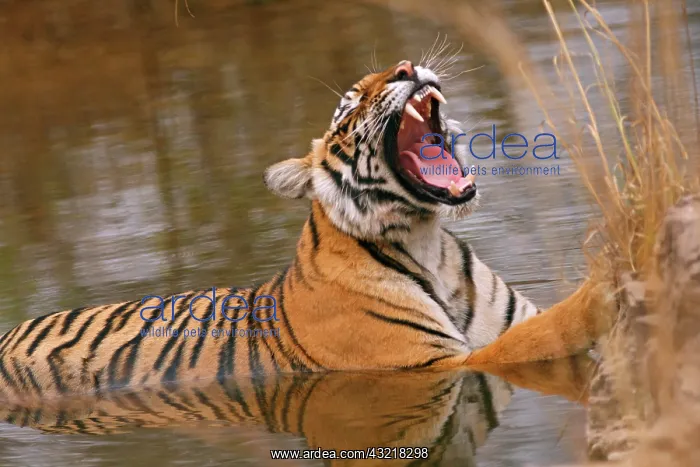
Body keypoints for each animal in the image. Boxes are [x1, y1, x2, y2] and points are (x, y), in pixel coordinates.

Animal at [0, 59, 613, 403]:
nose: (406, 67)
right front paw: (603, 284)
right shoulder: (432, 365)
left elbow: (531, 330)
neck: (425, 239)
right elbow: (533, 339)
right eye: (350, 107)